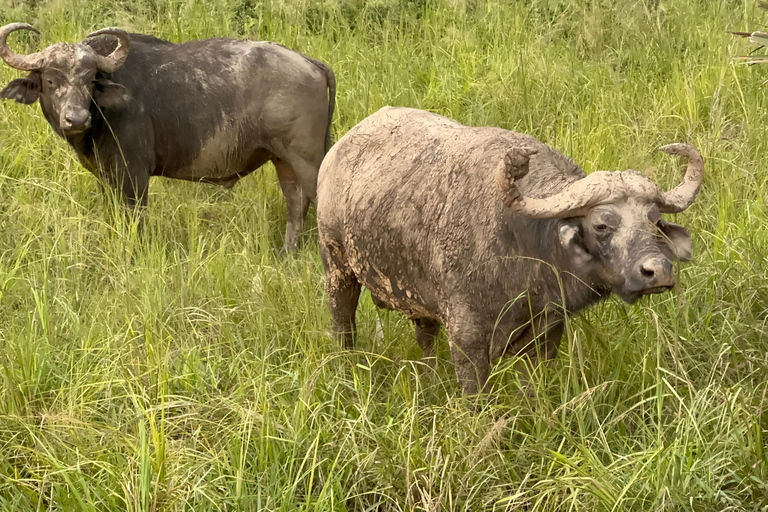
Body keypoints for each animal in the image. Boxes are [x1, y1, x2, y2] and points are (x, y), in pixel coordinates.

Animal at [0, 24, 336, 252]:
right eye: (51, 80)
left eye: (90, 79)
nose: (77, 119)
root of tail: (310, 62)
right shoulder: (105, 177)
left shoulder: (134, 175)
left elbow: (135, 221)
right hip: (283, 160)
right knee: (296, 203)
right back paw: (287, 252)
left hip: (308, 160)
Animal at [316, 107, 704, 396]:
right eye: (601, 225)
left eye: (654, 221)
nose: (658, 271)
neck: (526, 250)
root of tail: (337, 153)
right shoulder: (467, 338)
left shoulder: (547, 333)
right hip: (337, 265)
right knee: (342, 322)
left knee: (424, 335)